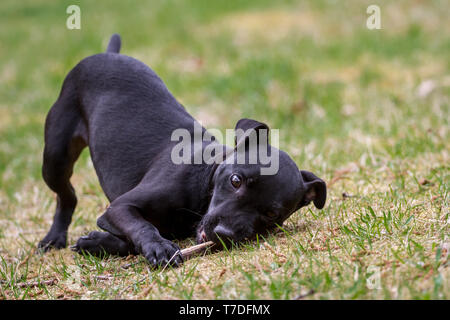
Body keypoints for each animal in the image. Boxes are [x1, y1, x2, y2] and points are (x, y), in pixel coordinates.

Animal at [38, 34, 326, 268]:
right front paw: (159, 248)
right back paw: (54, 238)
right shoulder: (120, 207)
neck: (205, 180)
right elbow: (143, 226)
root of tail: (110, 53)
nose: (224, 234)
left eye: (271, 214)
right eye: (236, 180)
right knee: (67, 195)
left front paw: (97, 242)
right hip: (55, 158)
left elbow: (134, 236)